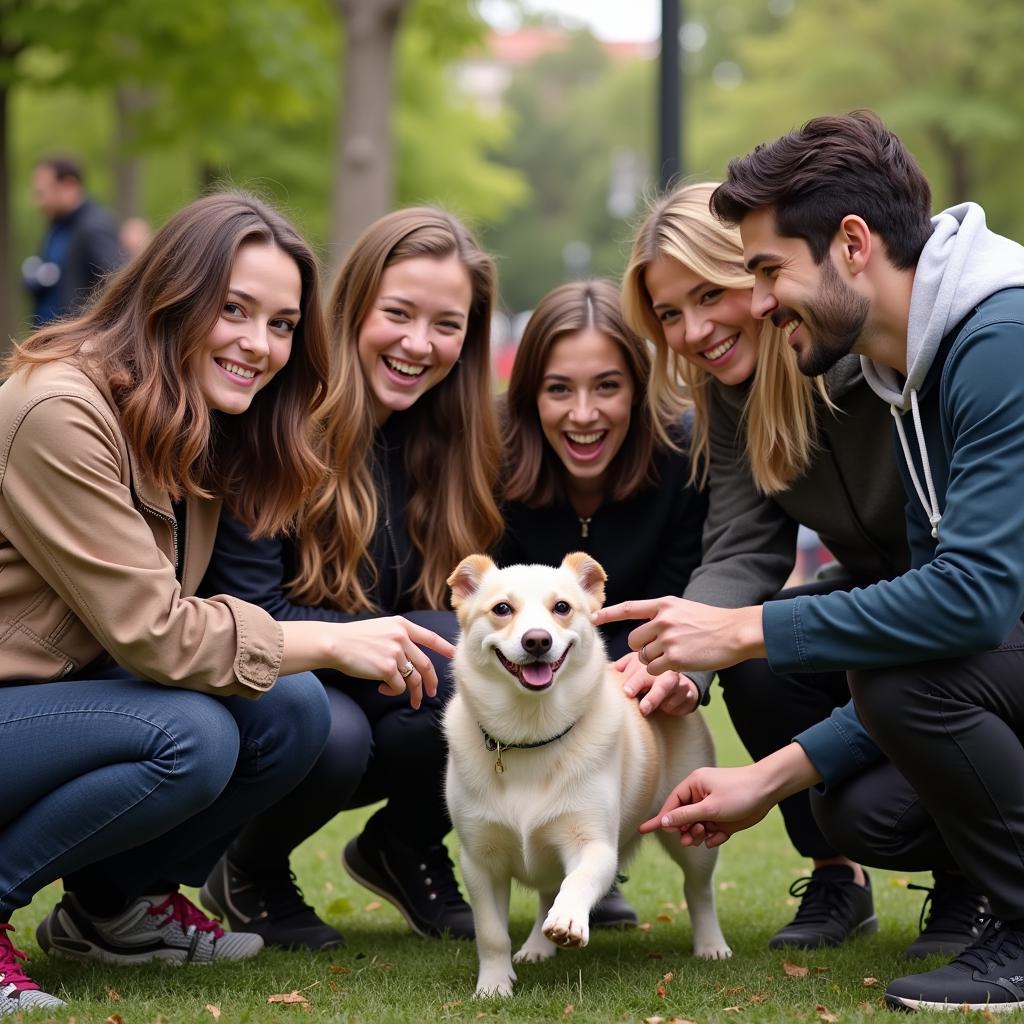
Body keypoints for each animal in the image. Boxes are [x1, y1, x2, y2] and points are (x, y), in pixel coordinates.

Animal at [444, 557, 733, 995]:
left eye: (562, 607)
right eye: (501, 609)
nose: (537, 641)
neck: (530, 735)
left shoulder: (594, 845)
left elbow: (577, 881)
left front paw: (567, 920)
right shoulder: (479, 860)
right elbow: (491, 933)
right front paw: (494, 985)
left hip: (693, 829)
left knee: (699, 890)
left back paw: (711, 944)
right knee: (547, 889)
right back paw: (536, 947)